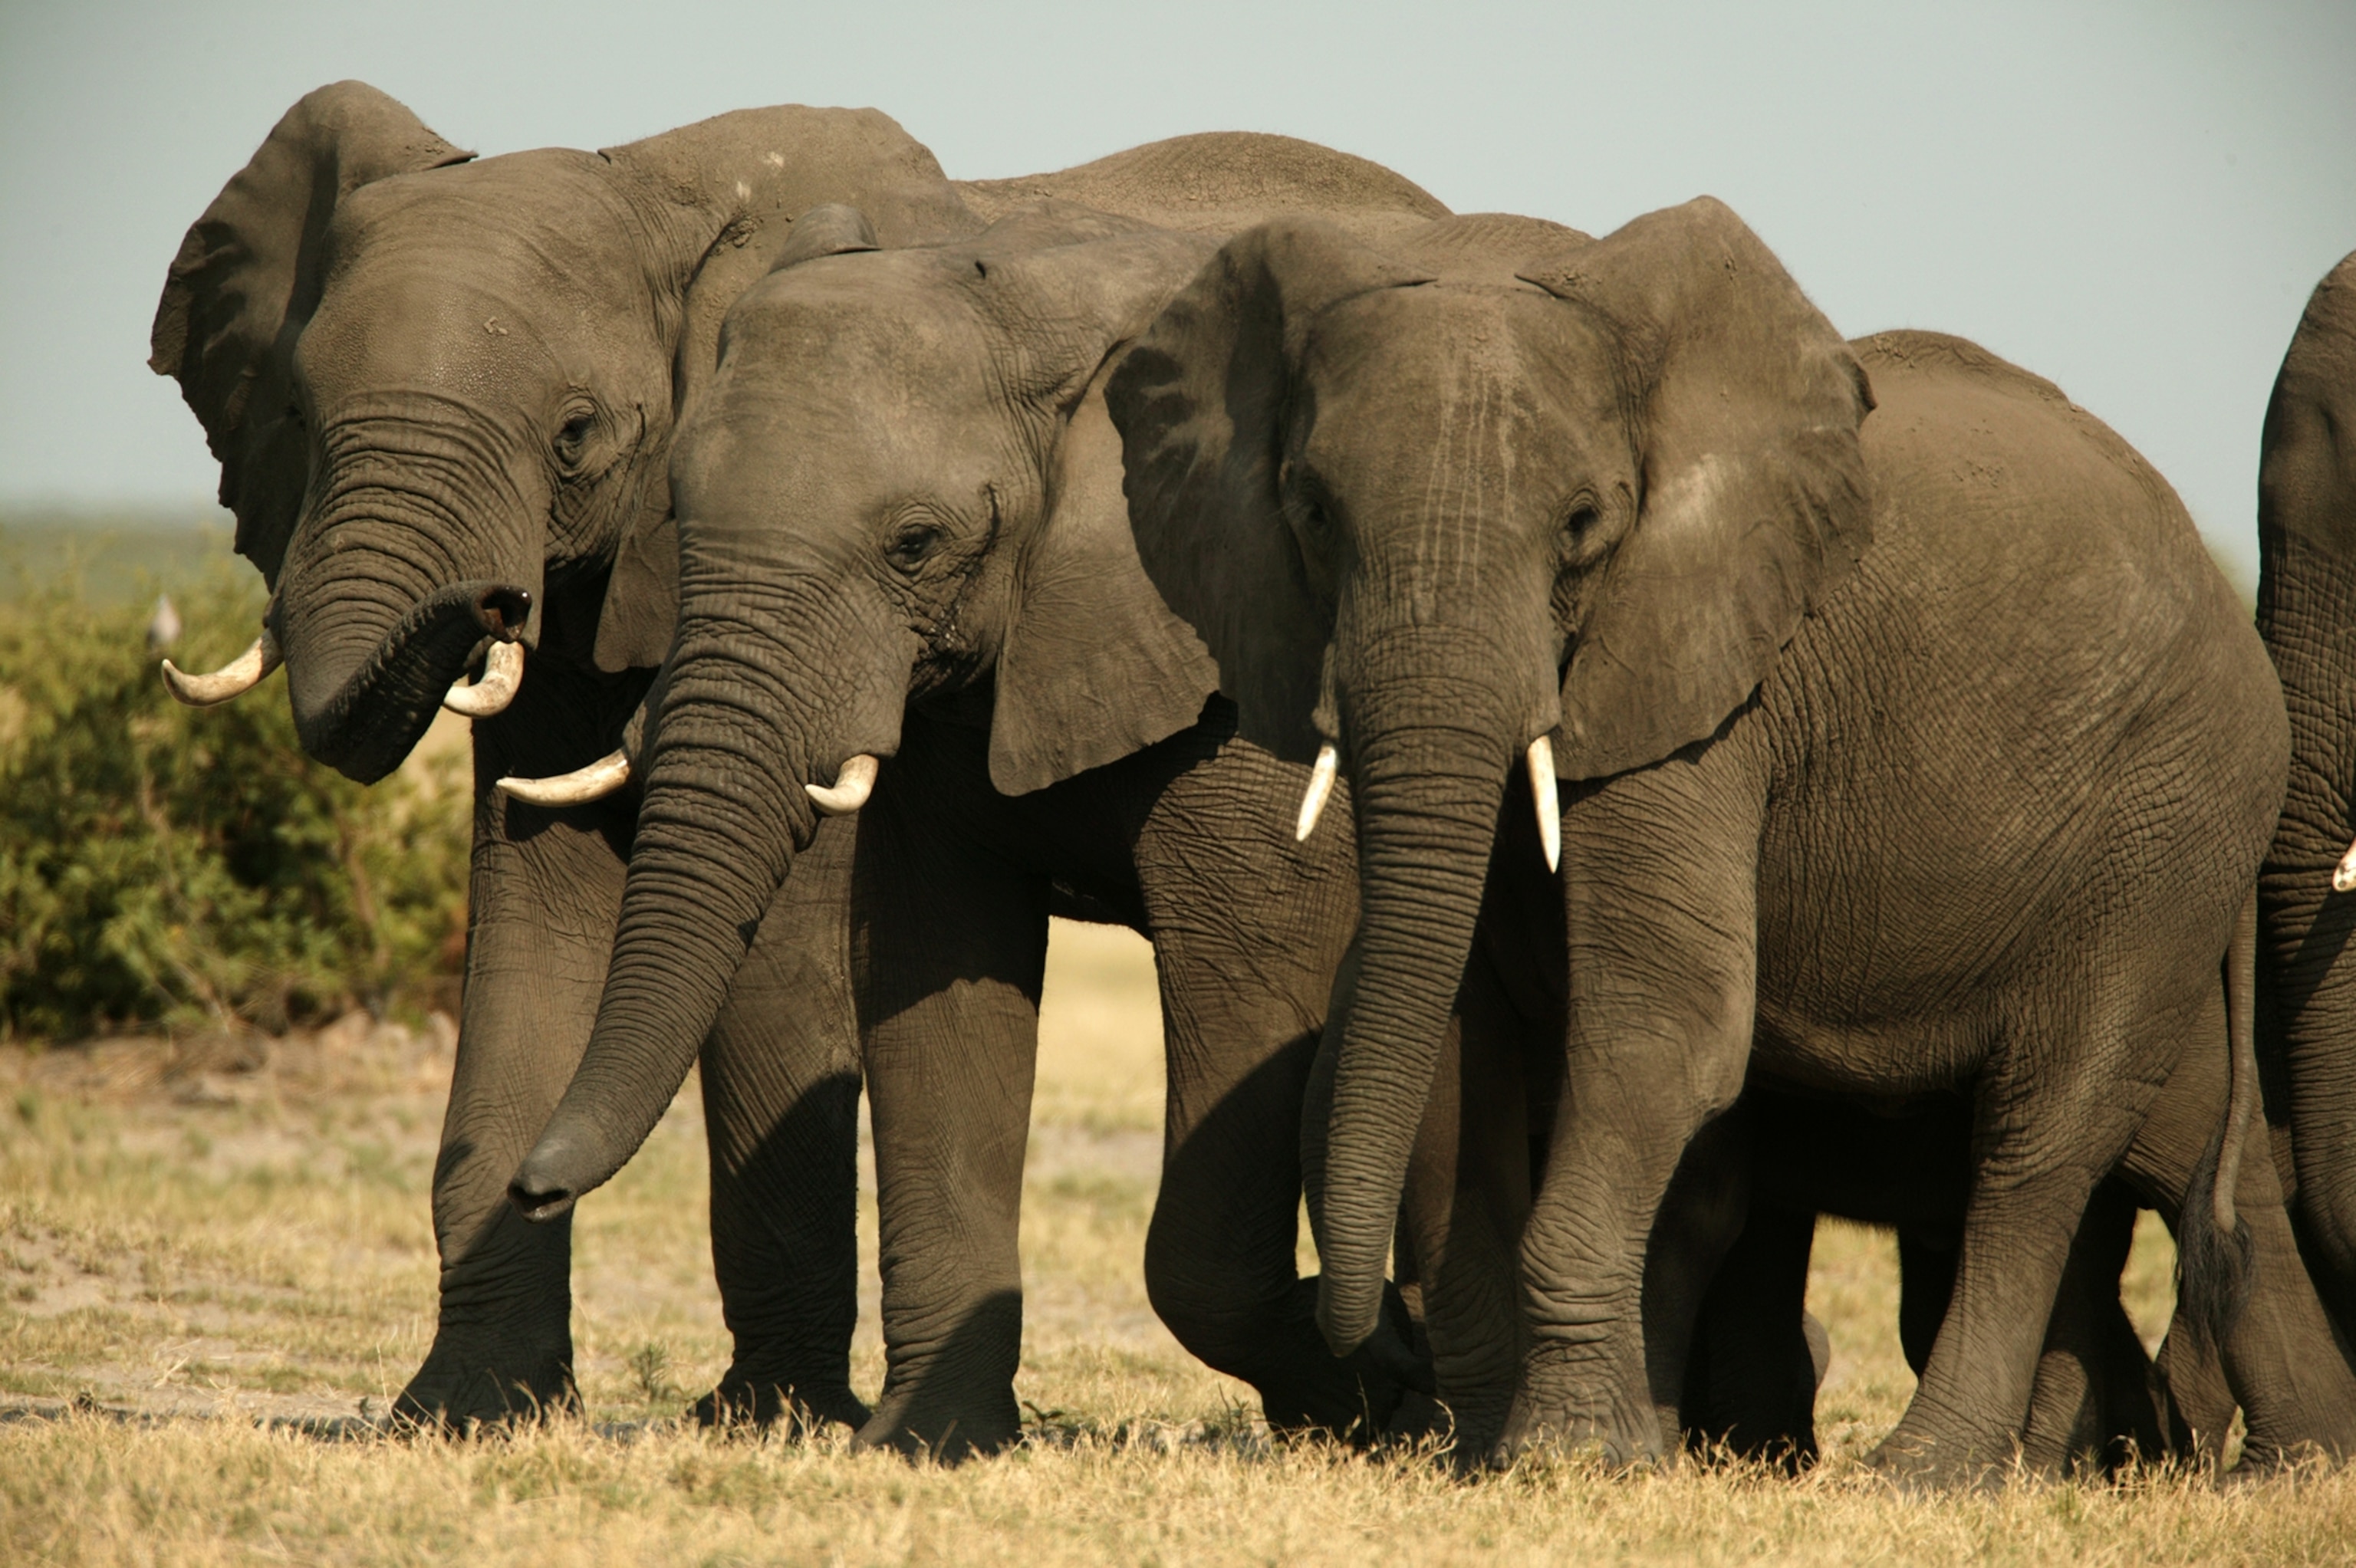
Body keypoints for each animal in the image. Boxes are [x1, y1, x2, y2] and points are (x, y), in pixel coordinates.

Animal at [148, 79, 1447, 1429]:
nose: (493, 600)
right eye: (299, 417)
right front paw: (461, 1413)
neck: (651, 188)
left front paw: (767, 1419)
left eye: (575, 434)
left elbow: (784, 952)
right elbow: (532, 897)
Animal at [1107, 200, 2356, 1481]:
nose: (1374, 1352)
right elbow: (1452, 1027)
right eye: (1311, 514)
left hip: (2171, 828)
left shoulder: (1710, 685)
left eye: (1583, 525)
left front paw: (1572, 1458)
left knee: (2044, 1140)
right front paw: (1502, 1454)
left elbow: (1662, 1020)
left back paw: (1931, 1475)